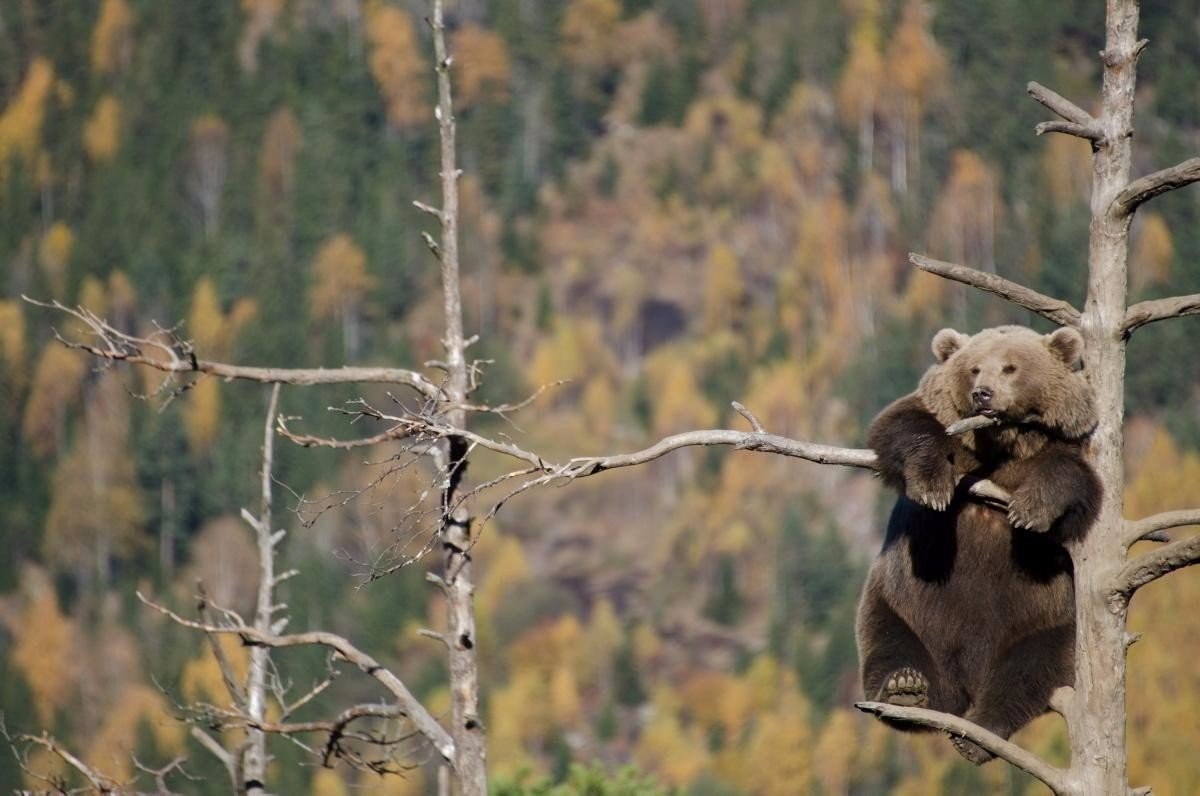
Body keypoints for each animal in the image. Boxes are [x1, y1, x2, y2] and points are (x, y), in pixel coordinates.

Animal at [859, 326, 1099, 768]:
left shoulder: (1067, 448)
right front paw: (932, 484)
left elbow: (1071, 477)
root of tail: (963, 687)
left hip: (1051, 622)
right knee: (890, 644)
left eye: (1010, 367)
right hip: (899, 606)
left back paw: (979, 734)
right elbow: (901, 426)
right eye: (973, 368)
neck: (1002, 443)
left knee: (1027, 673)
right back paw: (904, 690)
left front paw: (1030, 510)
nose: (983, 393)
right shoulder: (939, 421)